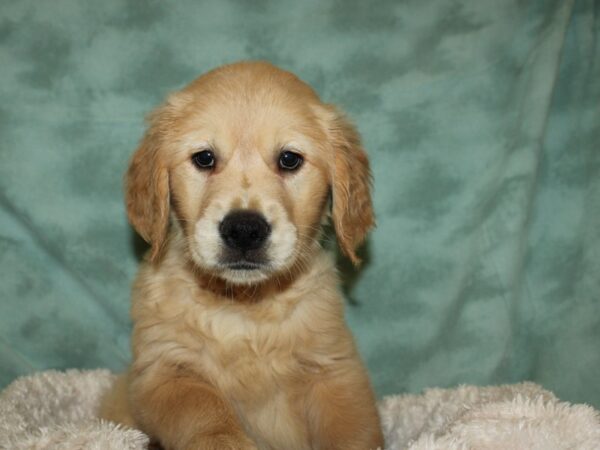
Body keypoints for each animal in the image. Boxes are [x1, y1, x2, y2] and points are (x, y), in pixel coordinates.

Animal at [102, 60, 384, 450]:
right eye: (204, 158)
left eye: (289, 159)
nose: (244, 230)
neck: (245, 308)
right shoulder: (160, 370)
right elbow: (202, 406)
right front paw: (225, 439)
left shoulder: (335, 369)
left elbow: (351, 430)